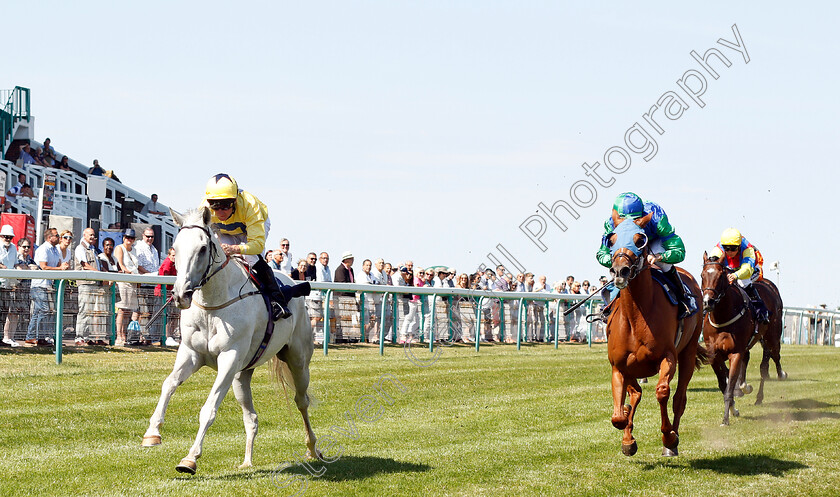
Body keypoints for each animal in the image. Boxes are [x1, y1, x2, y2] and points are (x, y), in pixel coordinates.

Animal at [141, 206, 318, 472]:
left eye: (203, 248)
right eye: (175, 247)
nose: (181, 295)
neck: (212, 304)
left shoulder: (229, 357)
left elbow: (209, 408)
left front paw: (190, 458)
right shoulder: (191, 354)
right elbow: (168, 384)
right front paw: (152, 433)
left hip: (297, 359)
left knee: (302, 401)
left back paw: (312, 448)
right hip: (241, 376)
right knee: (252, 417)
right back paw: (247, 462)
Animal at [604, 215, 708, 456]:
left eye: (640, 239)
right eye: (611, 240)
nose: (620, 271)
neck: (636, 316)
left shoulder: (667, 356)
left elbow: (662, 392)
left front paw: (668, 437)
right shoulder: (619, 366)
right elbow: (619, 414)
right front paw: (628, 438)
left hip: (688, 352)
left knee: (679, 398)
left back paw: (673, 442)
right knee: (636, 394)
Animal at [700, 254, 784, 424]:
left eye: (721, 276)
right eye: (702, 275)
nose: (707, 302)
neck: (722, 318)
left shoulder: (735, 353)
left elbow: (729, 386)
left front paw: (726, 419)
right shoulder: (714, 355)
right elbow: (723, 384)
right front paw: (734, 408)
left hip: (771, 338)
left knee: (771, 360)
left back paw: (777, 378)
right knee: (753, 359)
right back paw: (745, 387)